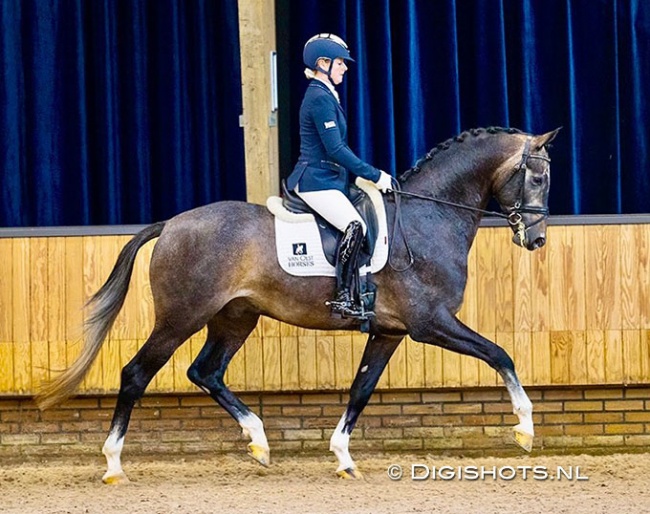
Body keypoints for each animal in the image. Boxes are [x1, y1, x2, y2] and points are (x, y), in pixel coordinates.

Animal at [38, 124, 560, 480]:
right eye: (537, 178)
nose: (536, 240)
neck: (429, 215)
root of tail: (171, 224)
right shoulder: (429, 322)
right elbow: (501, 354)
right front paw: (525, 430)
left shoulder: (389, 332)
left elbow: (361, 389)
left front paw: (344, 457)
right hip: (181, 316)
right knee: (136, 374)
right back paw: (113, 464)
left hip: (235, 317)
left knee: (205, 372)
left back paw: (259, 441)